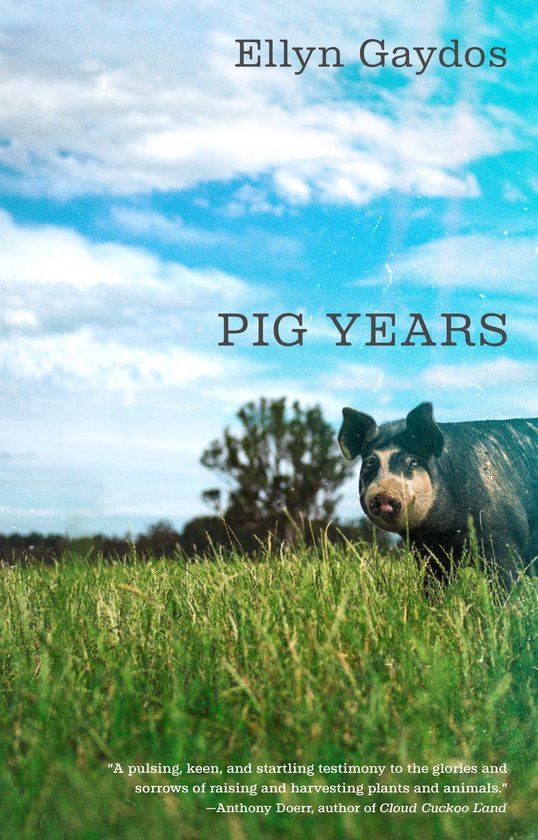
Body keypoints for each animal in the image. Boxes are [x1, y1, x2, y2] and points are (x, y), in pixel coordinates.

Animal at [338, 401, 538, 587]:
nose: (384, 494)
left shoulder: (505, 536)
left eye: (412, 462)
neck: (445, 530)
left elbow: (507, 582)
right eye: (370, 463)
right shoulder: (426, 552)